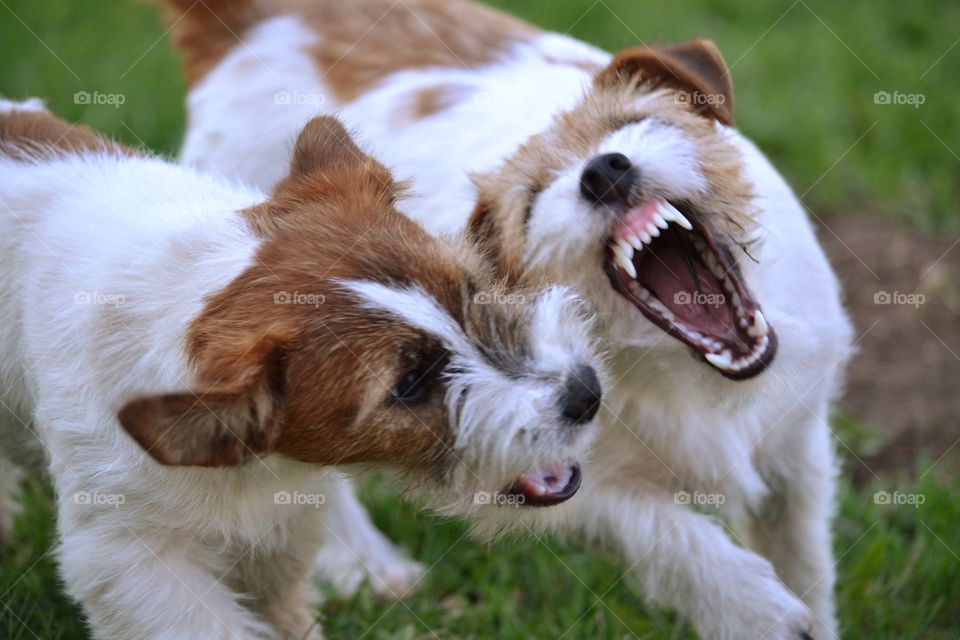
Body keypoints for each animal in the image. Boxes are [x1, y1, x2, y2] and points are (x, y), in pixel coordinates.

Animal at [0, 100, 600, 640]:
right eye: (408, 385)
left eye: (470, 292)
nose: (586, 393)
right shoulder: (128, 555)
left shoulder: (283, 520)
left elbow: (279, 590)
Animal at [159, 2, 856, 636]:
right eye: (534, 200)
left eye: (635, 123)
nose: (604, 171)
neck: (697, 378)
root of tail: (255, 20)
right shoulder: (573, 475)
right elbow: (678, 543)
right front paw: (755, 607)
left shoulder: (798, 450)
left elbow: (804, 563)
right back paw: (366, 565)